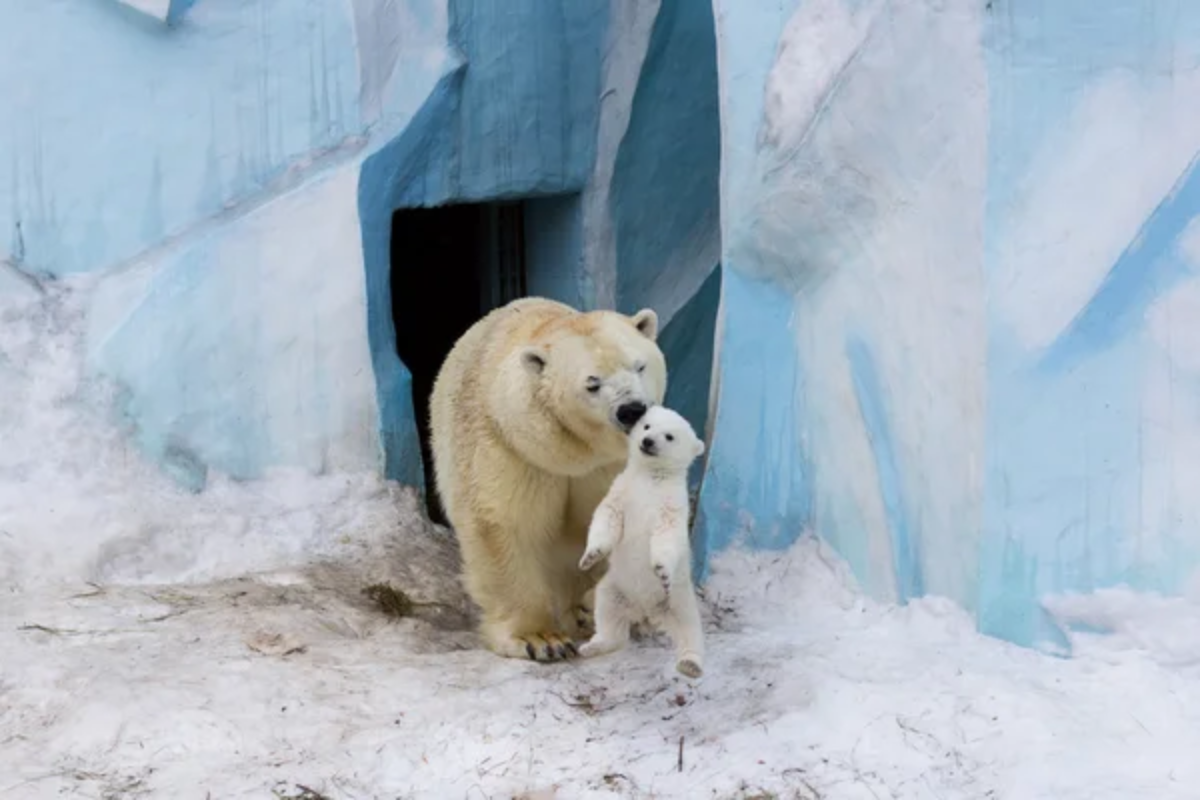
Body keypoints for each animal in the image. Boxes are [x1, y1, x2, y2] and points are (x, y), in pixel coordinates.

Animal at [428, 296, 667, 662]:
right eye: (592, 383)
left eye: (639, 366)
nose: (632, 410)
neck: (576, 453)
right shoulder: (511, 448)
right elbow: (504, 523)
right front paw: (539, 638)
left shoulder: (613, 465)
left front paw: (594, 607)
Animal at [577, 405, 706, 679]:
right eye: (647, 425)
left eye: (669, 436)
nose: (647, 441)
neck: (651, 478)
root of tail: (646, 612)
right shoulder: (622, 491)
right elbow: (607, 515)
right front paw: (590, 556)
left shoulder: (670, 504)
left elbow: (666, 535)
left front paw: (661, 570)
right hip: (616, 588)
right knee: (608, 612)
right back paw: (593, 646)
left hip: (677, 598)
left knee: (690, 629)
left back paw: (690, 664)